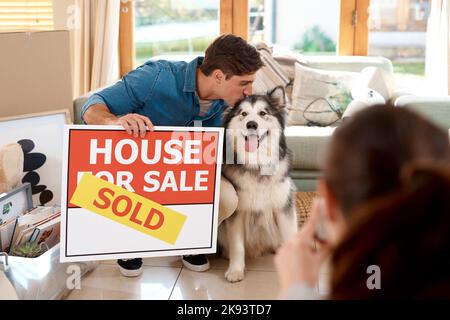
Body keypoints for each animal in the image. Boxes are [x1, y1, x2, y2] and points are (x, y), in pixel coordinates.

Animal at [219, 85, 298, 282]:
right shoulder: (238, 212)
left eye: (263, 113)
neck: (257, 164)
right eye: (243, 114)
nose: (252, 124)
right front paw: (236, 270)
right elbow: (237, 246)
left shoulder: (283, 207)